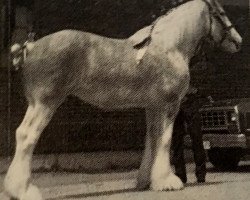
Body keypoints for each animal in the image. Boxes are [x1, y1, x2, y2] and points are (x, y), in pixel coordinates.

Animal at [4, 0, 242, 199]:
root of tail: (30, 47)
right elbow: (164, 140)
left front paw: (147, 181)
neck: (169, 47)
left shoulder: (152, 107)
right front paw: (168, 181)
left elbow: (152, 139)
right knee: (26, 136)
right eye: (221, 13)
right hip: (45, 103)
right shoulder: (169, 105)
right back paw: (22, 190)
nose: (238, 41)